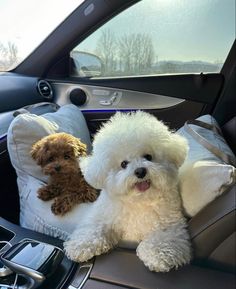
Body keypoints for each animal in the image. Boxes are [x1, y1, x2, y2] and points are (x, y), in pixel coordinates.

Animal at [63, 110, 192, 270]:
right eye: (124, 164)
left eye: (148, 157)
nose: (140, 171)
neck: (138, 201)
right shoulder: (102, 216)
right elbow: (93, 229)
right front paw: (80, 246)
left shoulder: (170, 224)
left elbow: (164, 237)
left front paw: (157, 254)